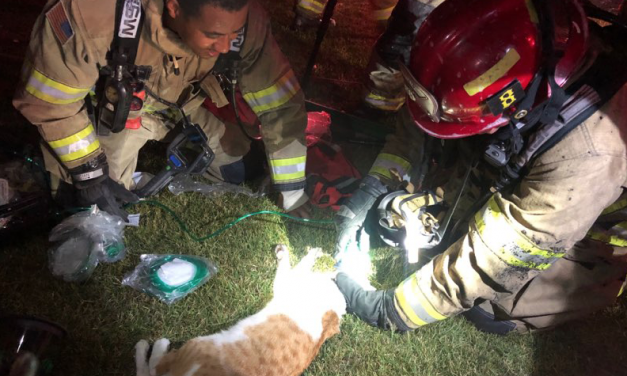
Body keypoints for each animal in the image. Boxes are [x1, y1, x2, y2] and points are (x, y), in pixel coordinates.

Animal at [136, 247, 348, 376]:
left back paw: (149, 346)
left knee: (153, 367)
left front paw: (301, 255)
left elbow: (295, 266)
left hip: (195, 345)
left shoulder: (286, 285)